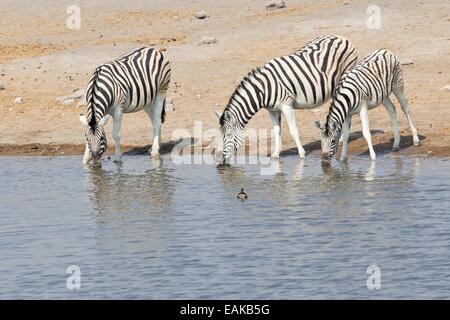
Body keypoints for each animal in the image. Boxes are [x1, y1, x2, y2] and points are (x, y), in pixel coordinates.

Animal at [214, 35, 358, 162]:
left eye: (228, 135)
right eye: (220, 135)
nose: (219, 159)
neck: (263, 90)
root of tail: (342, 38)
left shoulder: (286, 105)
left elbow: (293, 130)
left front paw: (301, 154)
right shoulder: (272, 110)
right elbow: (276, 131)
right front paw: (275, 154)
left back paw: (341, 138)